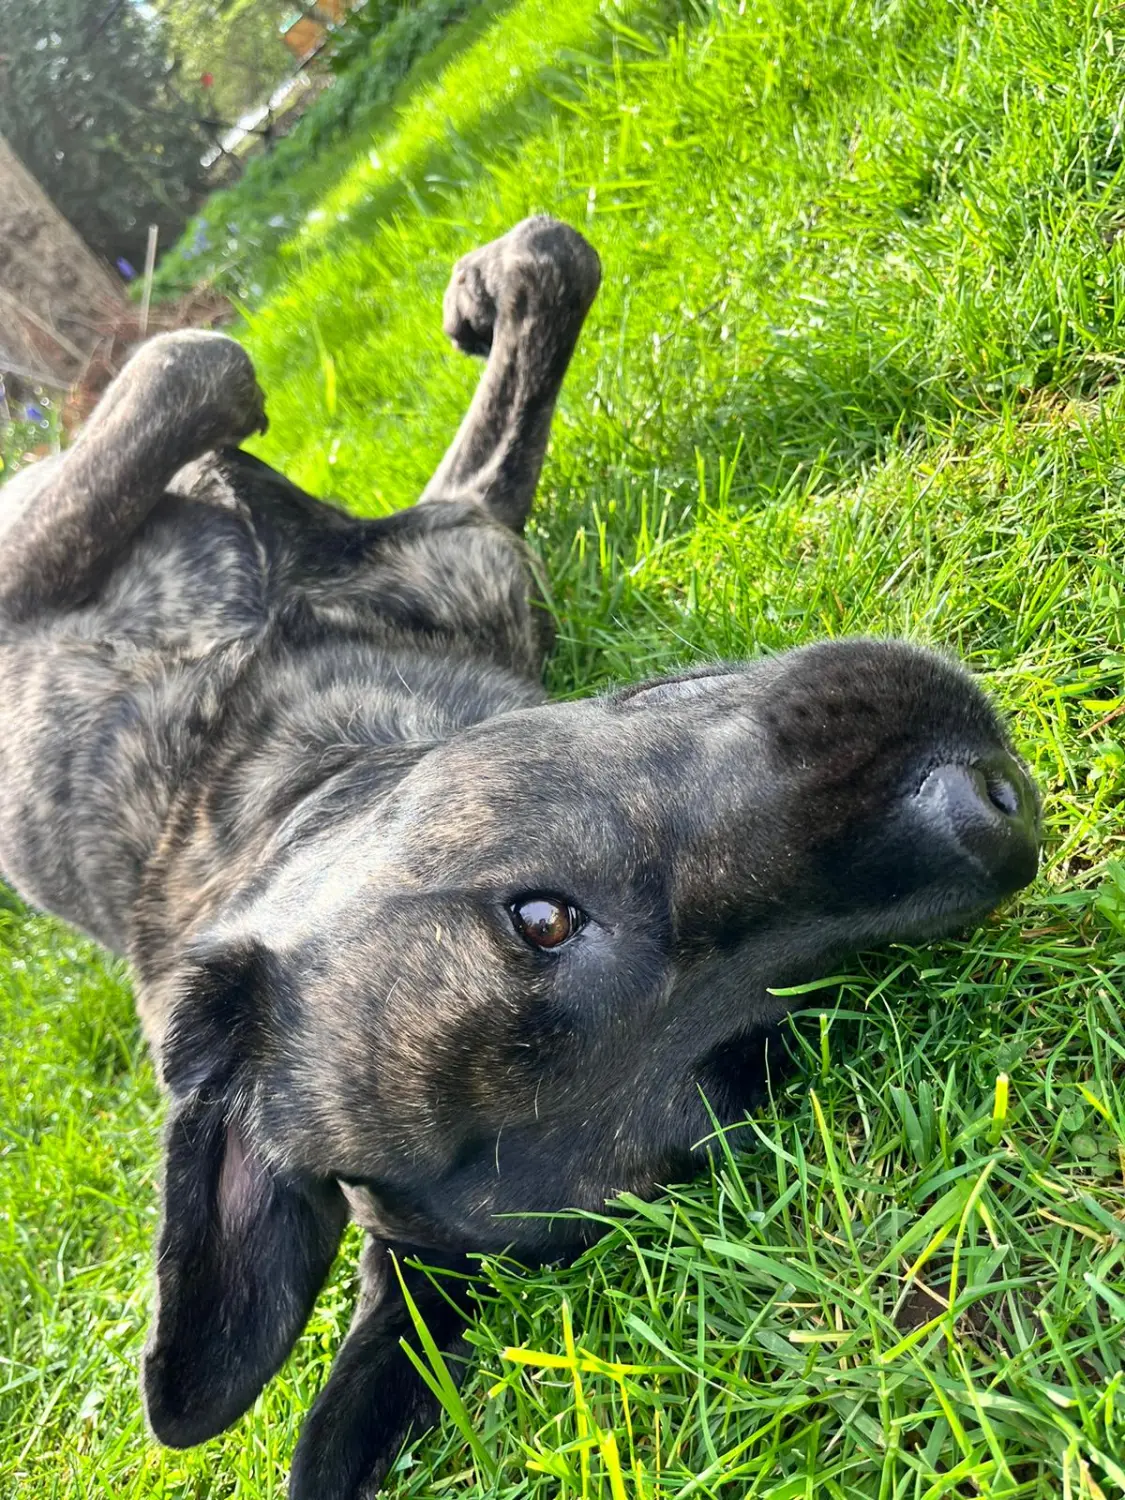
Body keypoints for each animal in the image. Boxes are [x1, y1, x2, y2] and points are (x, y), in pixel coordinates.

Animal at [0, 219, 1044, 1500]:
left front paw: (481, 292)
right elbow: (198, 365)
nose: (988, 810)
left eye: (532, 917)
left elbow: (529, 299)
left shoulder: (464, 548)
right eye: (759, 1060)